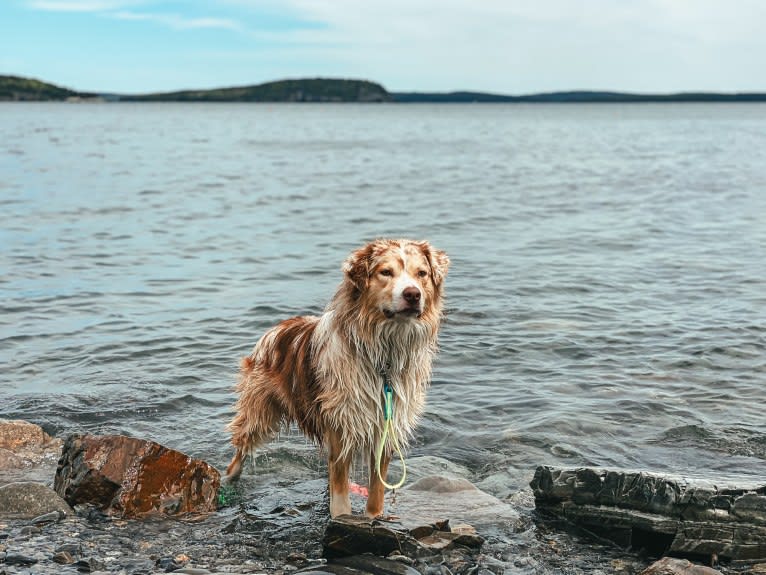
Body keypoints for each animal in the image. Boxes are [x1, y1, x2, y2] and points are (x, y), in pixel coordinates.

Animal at [224, 238, 450, 516]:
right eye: (386, 272)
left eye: (422, 274)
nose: (412, 294)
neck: (384, 353)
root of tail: (277, 328)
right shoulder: (341, 427)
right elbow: (341, 497)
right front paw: (343, 516)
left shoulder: (386, 427)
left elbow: (376, 493)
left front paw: (373, 517)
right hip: (258, 411)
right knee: (240, 449)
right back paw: (228, 478)